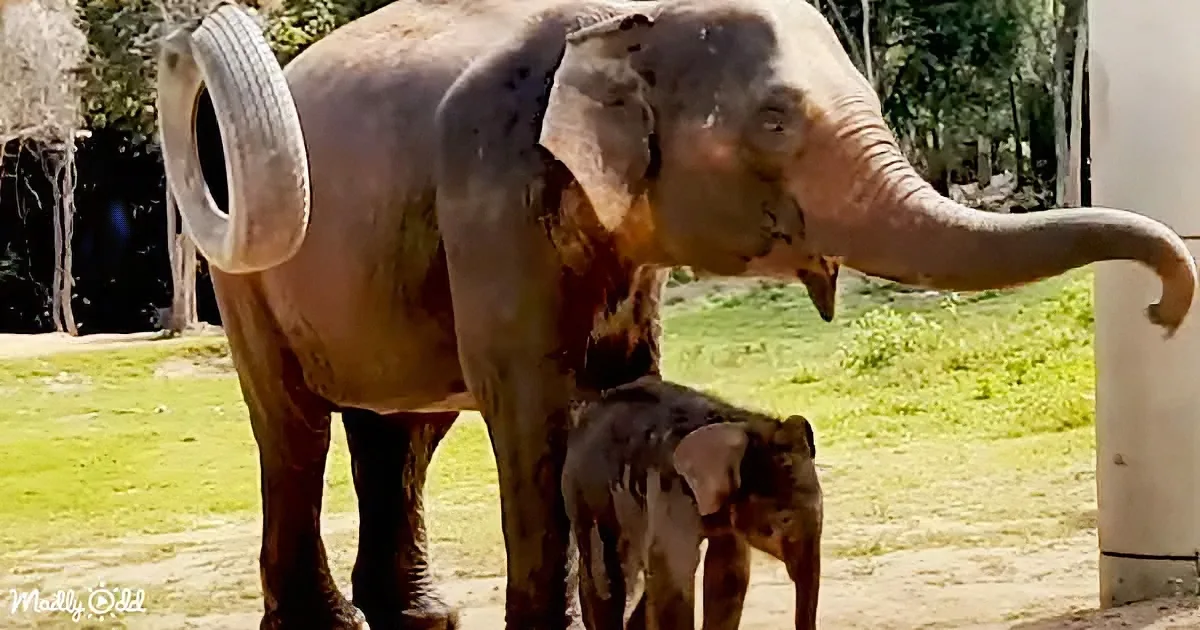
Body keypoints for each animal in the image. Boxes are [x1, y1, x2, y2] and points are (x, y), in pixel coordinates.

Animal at [562, 377, 823, 630]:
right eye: (785, 519)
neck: (741, 422)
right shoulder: (672, 489)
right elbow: (675, 575)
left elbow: (728, 573)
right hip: (583, 488)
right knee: (603, 570)